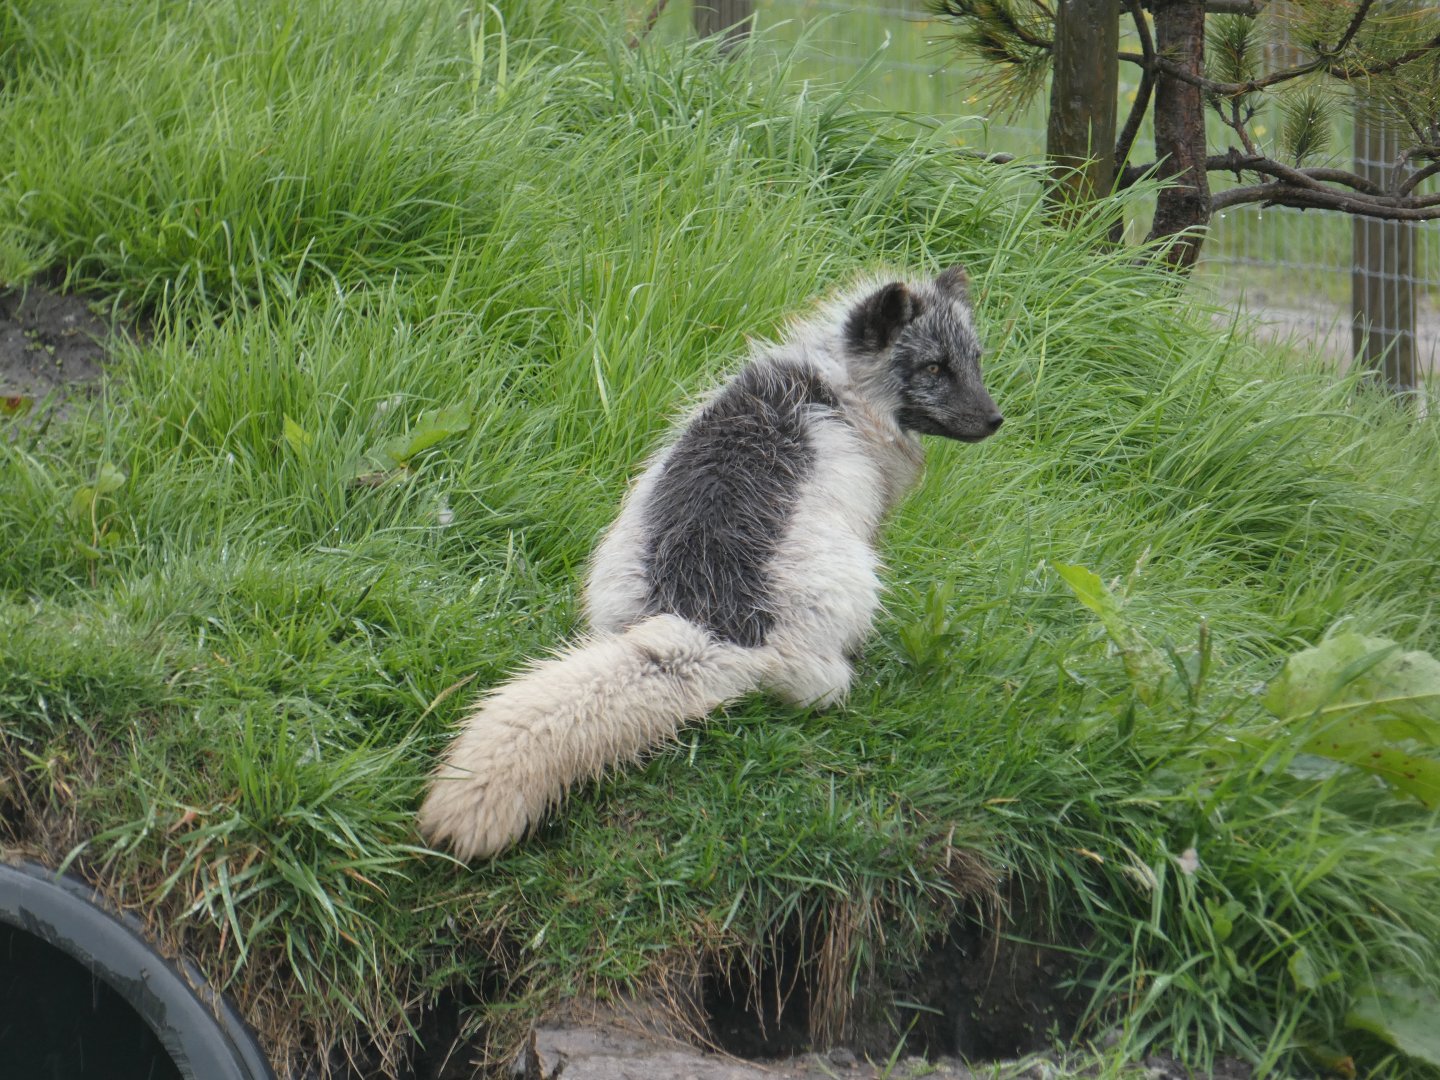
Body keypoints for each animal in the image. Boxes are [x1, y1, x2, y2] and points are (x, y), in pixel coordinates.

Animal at [419, 266, 1003, 860]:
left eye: (975, 359)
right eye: (934, 367)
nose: (994, 420)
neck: (835, 385)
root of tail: (707, 623)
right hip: (852, 584)